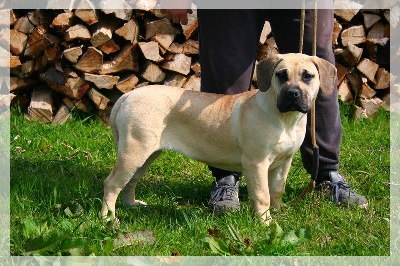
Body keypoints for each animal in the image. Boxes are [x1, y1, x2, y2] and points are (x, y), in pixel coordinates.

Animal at [101, 53, 336, 223]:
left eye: (307, 76)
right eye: (281, 75)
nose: (292, 94)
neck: (286, 119)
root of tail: (128, 95)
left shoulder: (283, 163)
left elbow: (277, 190)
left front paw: (277, 212)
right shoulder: (256, 163)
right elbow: (262, 195)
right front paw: (266, 223)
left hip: (146, 154)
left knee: (130, 181)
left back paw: (131, 204)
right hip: (134, 151)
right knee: (111, 183)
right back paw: (108, 219)